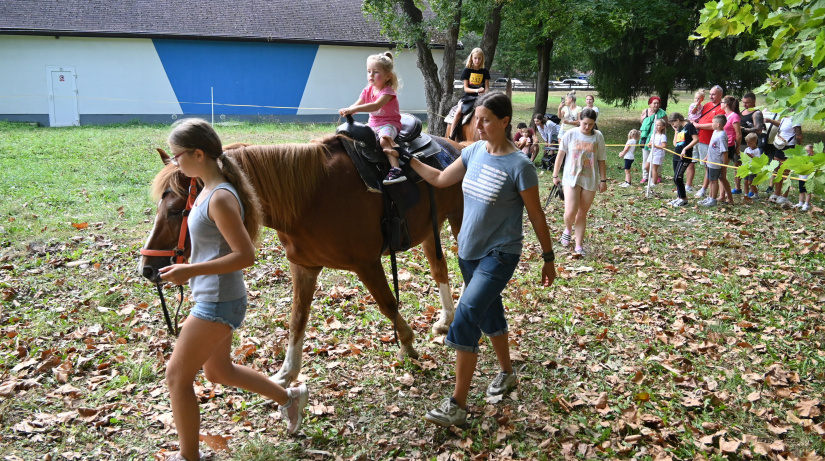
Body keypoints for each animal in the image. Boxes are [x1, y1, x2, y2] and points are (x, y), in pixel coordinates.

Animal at [138, 135, 466, 386]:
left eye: (176, 210)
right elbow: (297, 318)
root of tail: (456, 146)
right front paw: (286, 375)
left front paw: (407, 343)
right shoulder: (304, 267)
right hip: (429, 230)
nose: (148, 269)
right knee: (439, 268)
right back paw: (446, 319)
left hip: (458, 221)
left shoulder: (367, 264)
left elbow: (388, 304)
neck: (311, 197)